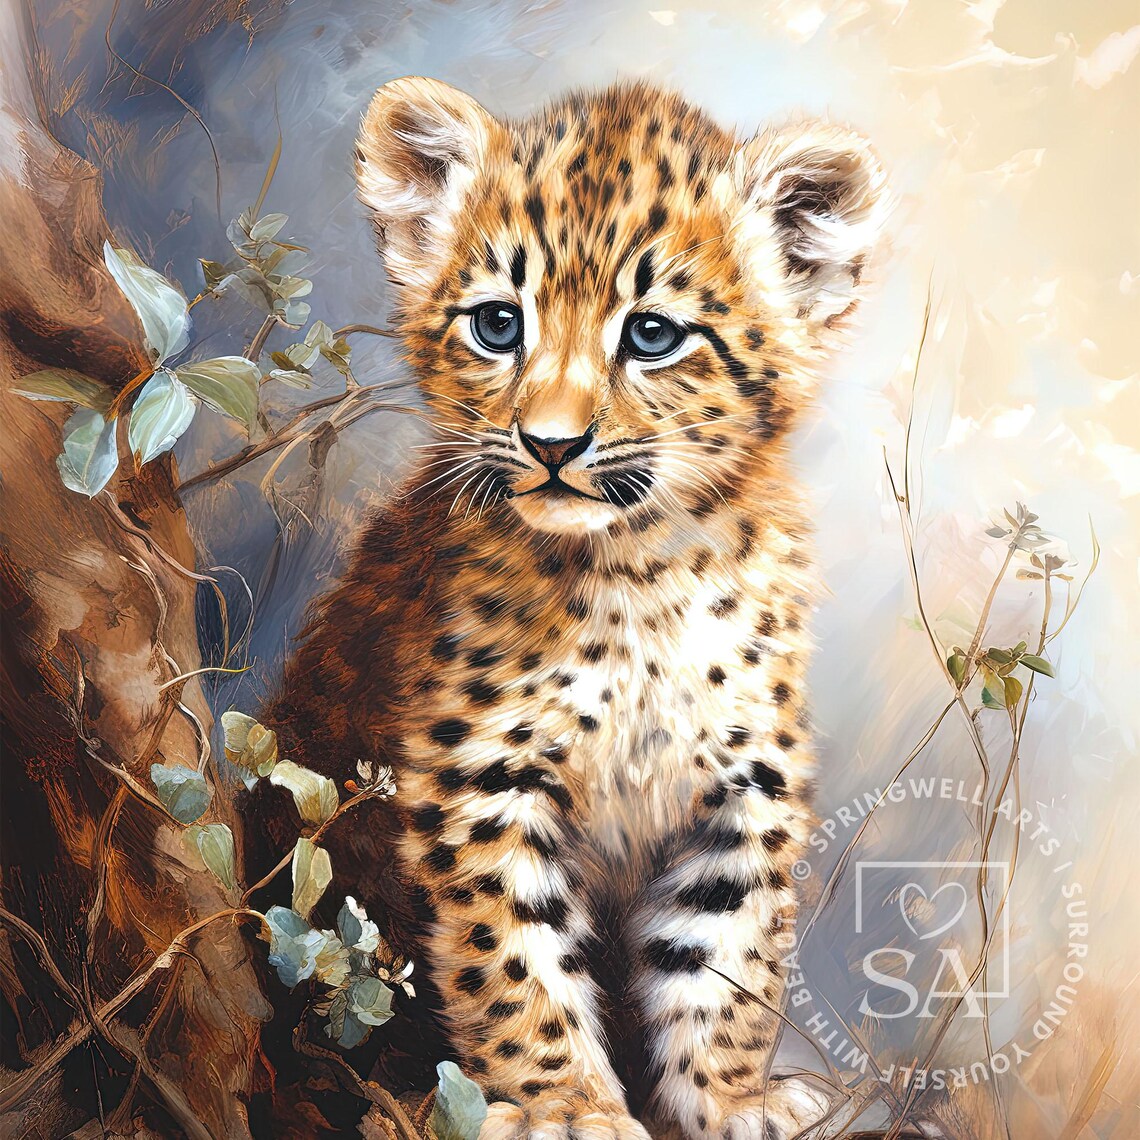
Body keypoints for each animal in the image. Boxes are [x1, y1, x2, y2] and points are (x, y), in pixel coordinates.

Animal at [263, 76, 888, 1140]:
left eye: (651, 335)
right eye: (497, 325)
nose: (550, 444)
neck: (640, 574)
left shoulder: (744, 785)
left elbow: (725, 961)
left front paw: (733, 1101)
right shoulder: (482, 775)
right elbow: (512, 959)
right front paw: (563, 1107)